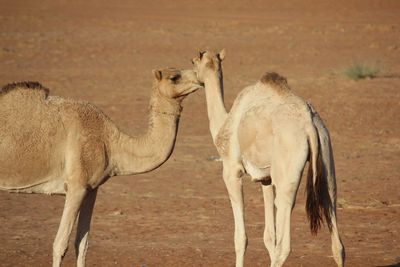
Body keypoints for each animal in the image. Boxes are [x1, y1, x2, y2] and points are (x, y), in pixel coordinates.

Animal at [0, 69, 202, 267]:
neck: (111, 143)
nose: (199, 79)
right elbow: (60, 244)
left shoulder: (91, 189)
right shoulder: (76, 186)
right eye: (174, 77)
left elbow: (82, 244)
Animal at [192, 50, 346, 267]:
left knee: (284, 242)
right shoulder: (266, 178)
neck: (224, 123)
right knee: (336, 237)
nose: (194, 78)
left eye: (193, 62)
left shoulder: (231, 170)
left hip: (288, 171)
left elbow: (241, 238)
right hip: (326, 158)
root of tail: (309, 125)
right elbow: (268, 236)